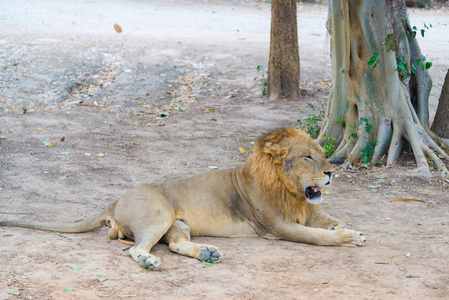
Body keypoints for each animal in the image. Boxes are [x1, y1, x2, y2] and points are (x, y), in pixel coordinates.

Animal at [0, 126, 364, 270]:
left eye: (322, 154)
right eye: (308, 157)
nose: (332, 172)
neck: (291, 191)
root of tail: (113, 201)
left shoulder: (309, 211)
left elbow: (329, 220)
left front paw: (346, 228)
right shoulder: (277, 227)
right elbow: (317, 237)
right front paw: (349, 237)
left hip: (177, 223)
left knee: (175, 244)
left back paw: (208, 253)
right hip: (159, 213)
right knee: (136, 248)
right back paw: (150, 261)